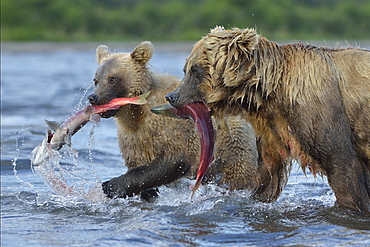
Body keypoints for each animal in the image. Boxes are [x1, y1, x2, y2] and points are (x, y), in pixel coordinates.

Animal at [88, 41, 270, 202]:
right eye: (96, 80)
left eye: (112, 78)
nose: (93, 97)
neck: (135, 112)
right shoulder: (132, 136)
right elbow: (138, 162)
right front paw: (147, 192)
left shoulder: (170, 125)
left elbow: (175, 158)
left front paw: (111, 186)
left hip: (234, 152)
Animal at [168, 26, 370, 213]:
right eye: (186, 69)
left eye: (195, 71)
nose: (171, 96)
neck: (270, 94)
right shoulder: (272, 128)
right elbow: (268, 174)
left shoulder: (321, 112)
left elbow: (342, 166)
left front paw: (353, 206)